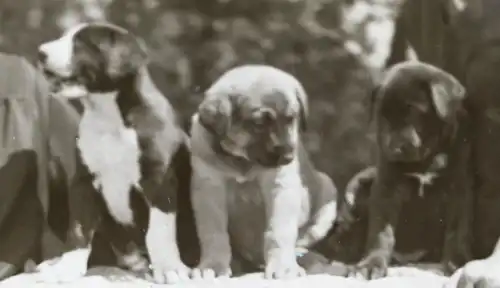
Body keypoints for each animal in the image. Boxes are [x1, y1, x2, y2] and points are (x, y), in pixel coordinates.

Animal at [37, 22, 192, 284]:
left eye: (81, 42)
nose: (41, 52)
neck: (108, 117)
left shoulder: (159, 182)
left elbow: (159, 230)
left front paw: (170, 267)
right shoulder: (84, 181)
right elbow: (79, 229)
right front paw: (66, 266)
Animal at [189, 64, 338, 280]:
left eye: (291, 119)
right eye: (259, 124)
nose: (288, 156)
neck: (242, 161)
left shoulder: (280, 186)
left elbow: (279, 231)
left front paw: (284, 266)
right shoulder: (209, 189)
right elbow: (213, 233)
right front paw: (213, 266)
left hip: (327, 190)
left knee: (303, 241)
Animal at [348, 60, 472, 280]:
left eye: (413, 111)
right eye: (381, 114)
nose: (393, 148)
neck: (426, 159)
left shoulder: (458, 189)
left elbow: (457, 229)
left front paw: (456, 261)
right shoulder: (386, 187)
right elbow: (381, 232)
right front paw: (371, 264)